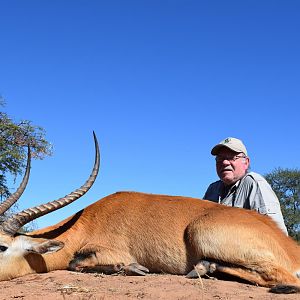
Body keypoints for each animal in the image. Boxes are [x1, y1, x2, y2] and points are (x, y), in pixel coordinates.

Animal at [0, 134, 298, 292]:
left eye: (2, 247)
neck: (88, 221)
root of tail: (289, 246)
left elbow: (76, 263)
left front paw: (134, 268)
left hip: (202, 233)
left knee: (283, 279)